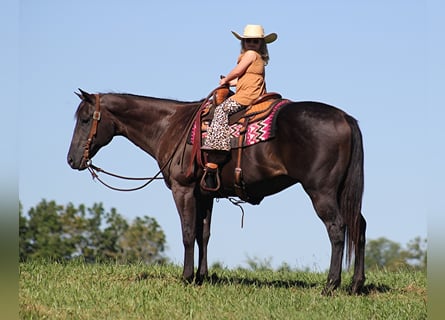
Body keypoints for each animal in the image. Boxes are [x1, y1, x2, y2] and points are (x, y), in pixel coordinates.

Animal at [66, 89, 364, 294]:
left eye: (85, 119)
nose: (71, 160)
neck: (170, 125)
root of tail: (344, 117)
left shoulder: (183, 190)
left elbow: (188, 233)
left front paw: (187, 277)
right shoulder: (205, 194)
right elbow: (204, 235)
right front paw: (202, 276)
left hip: (321, 192)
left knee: (337, 229)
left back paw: (331, 285)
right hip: (342, 193)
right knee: (358, 227)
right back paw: (356, 284)